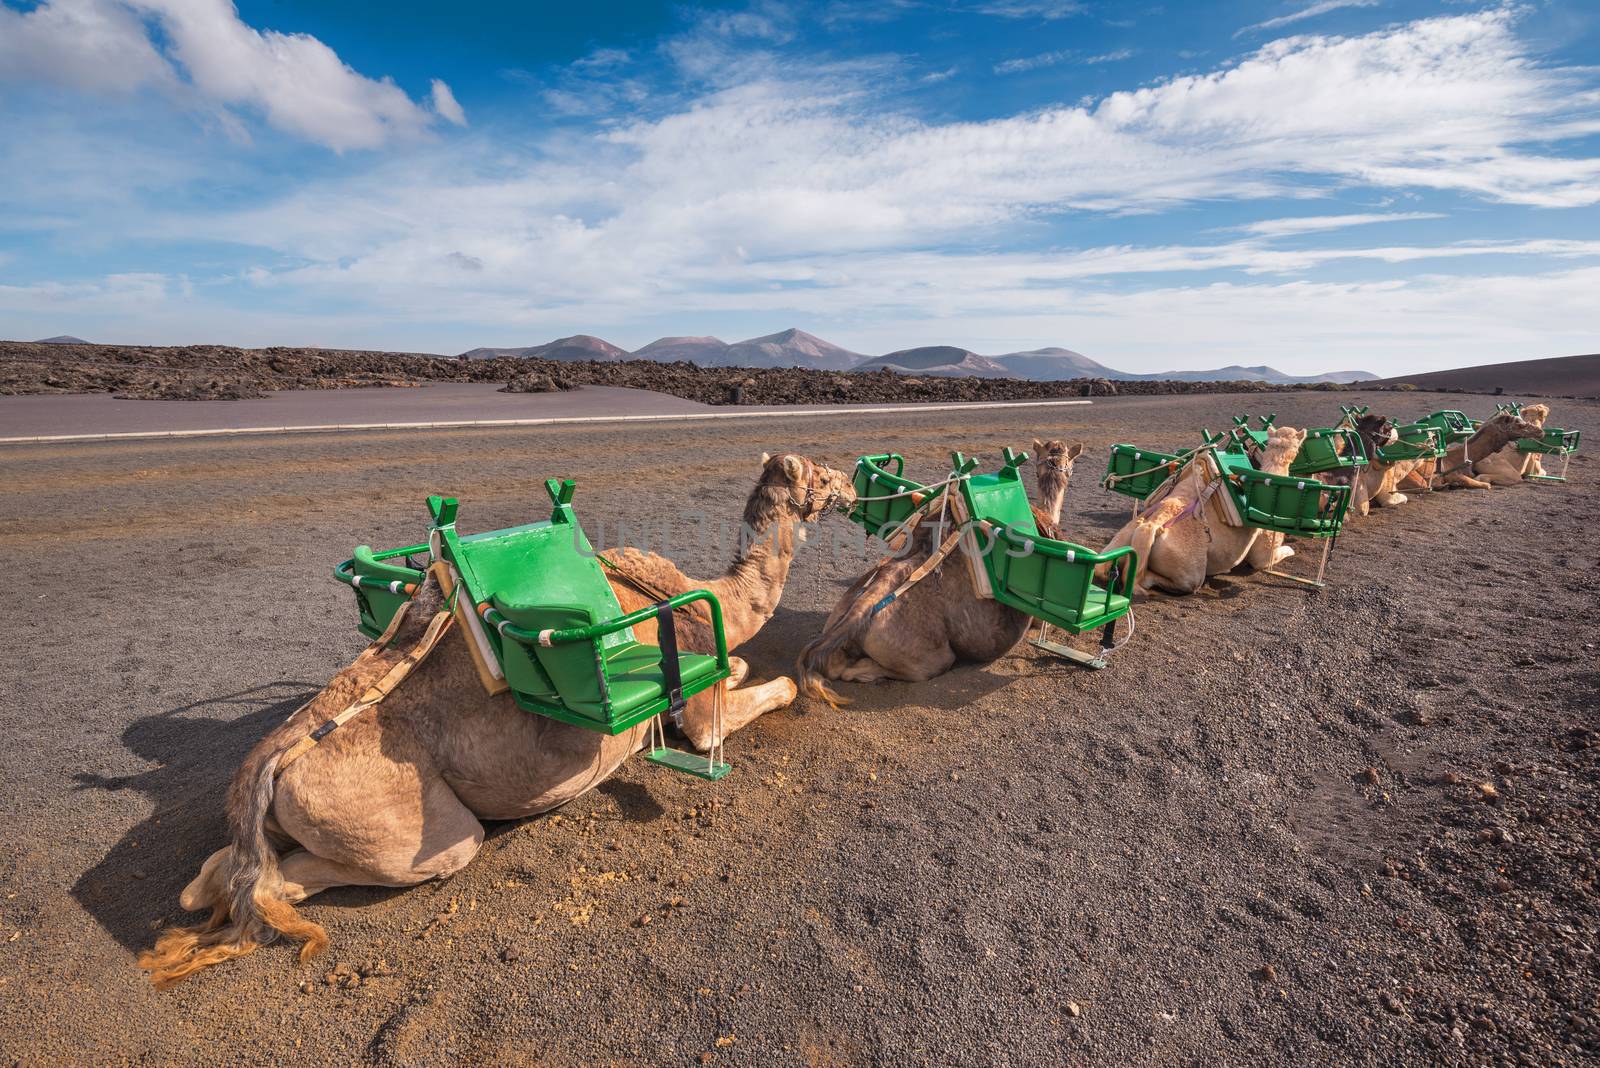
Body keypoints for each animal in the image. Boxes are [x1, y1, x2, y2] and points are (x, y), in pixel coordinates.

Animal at [139, 447, 857, 984]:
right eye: (821, 474)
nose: (852, 487)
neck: (714, 597)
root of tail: (272, 761)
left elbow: (742, 670)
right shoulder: (700, 704)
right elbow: (762, 693)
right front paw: (777, 685)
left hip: (283, 813)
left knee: (216, 876)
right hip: (409, 827)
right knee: (295, 883)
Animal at [1107, 422, 1305, 591]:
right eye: (1298, 448)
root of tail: (1150, 527)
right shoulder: (1263, 555)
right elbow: (1281, 553)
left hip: (1120, 543)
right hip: (1190, 573)